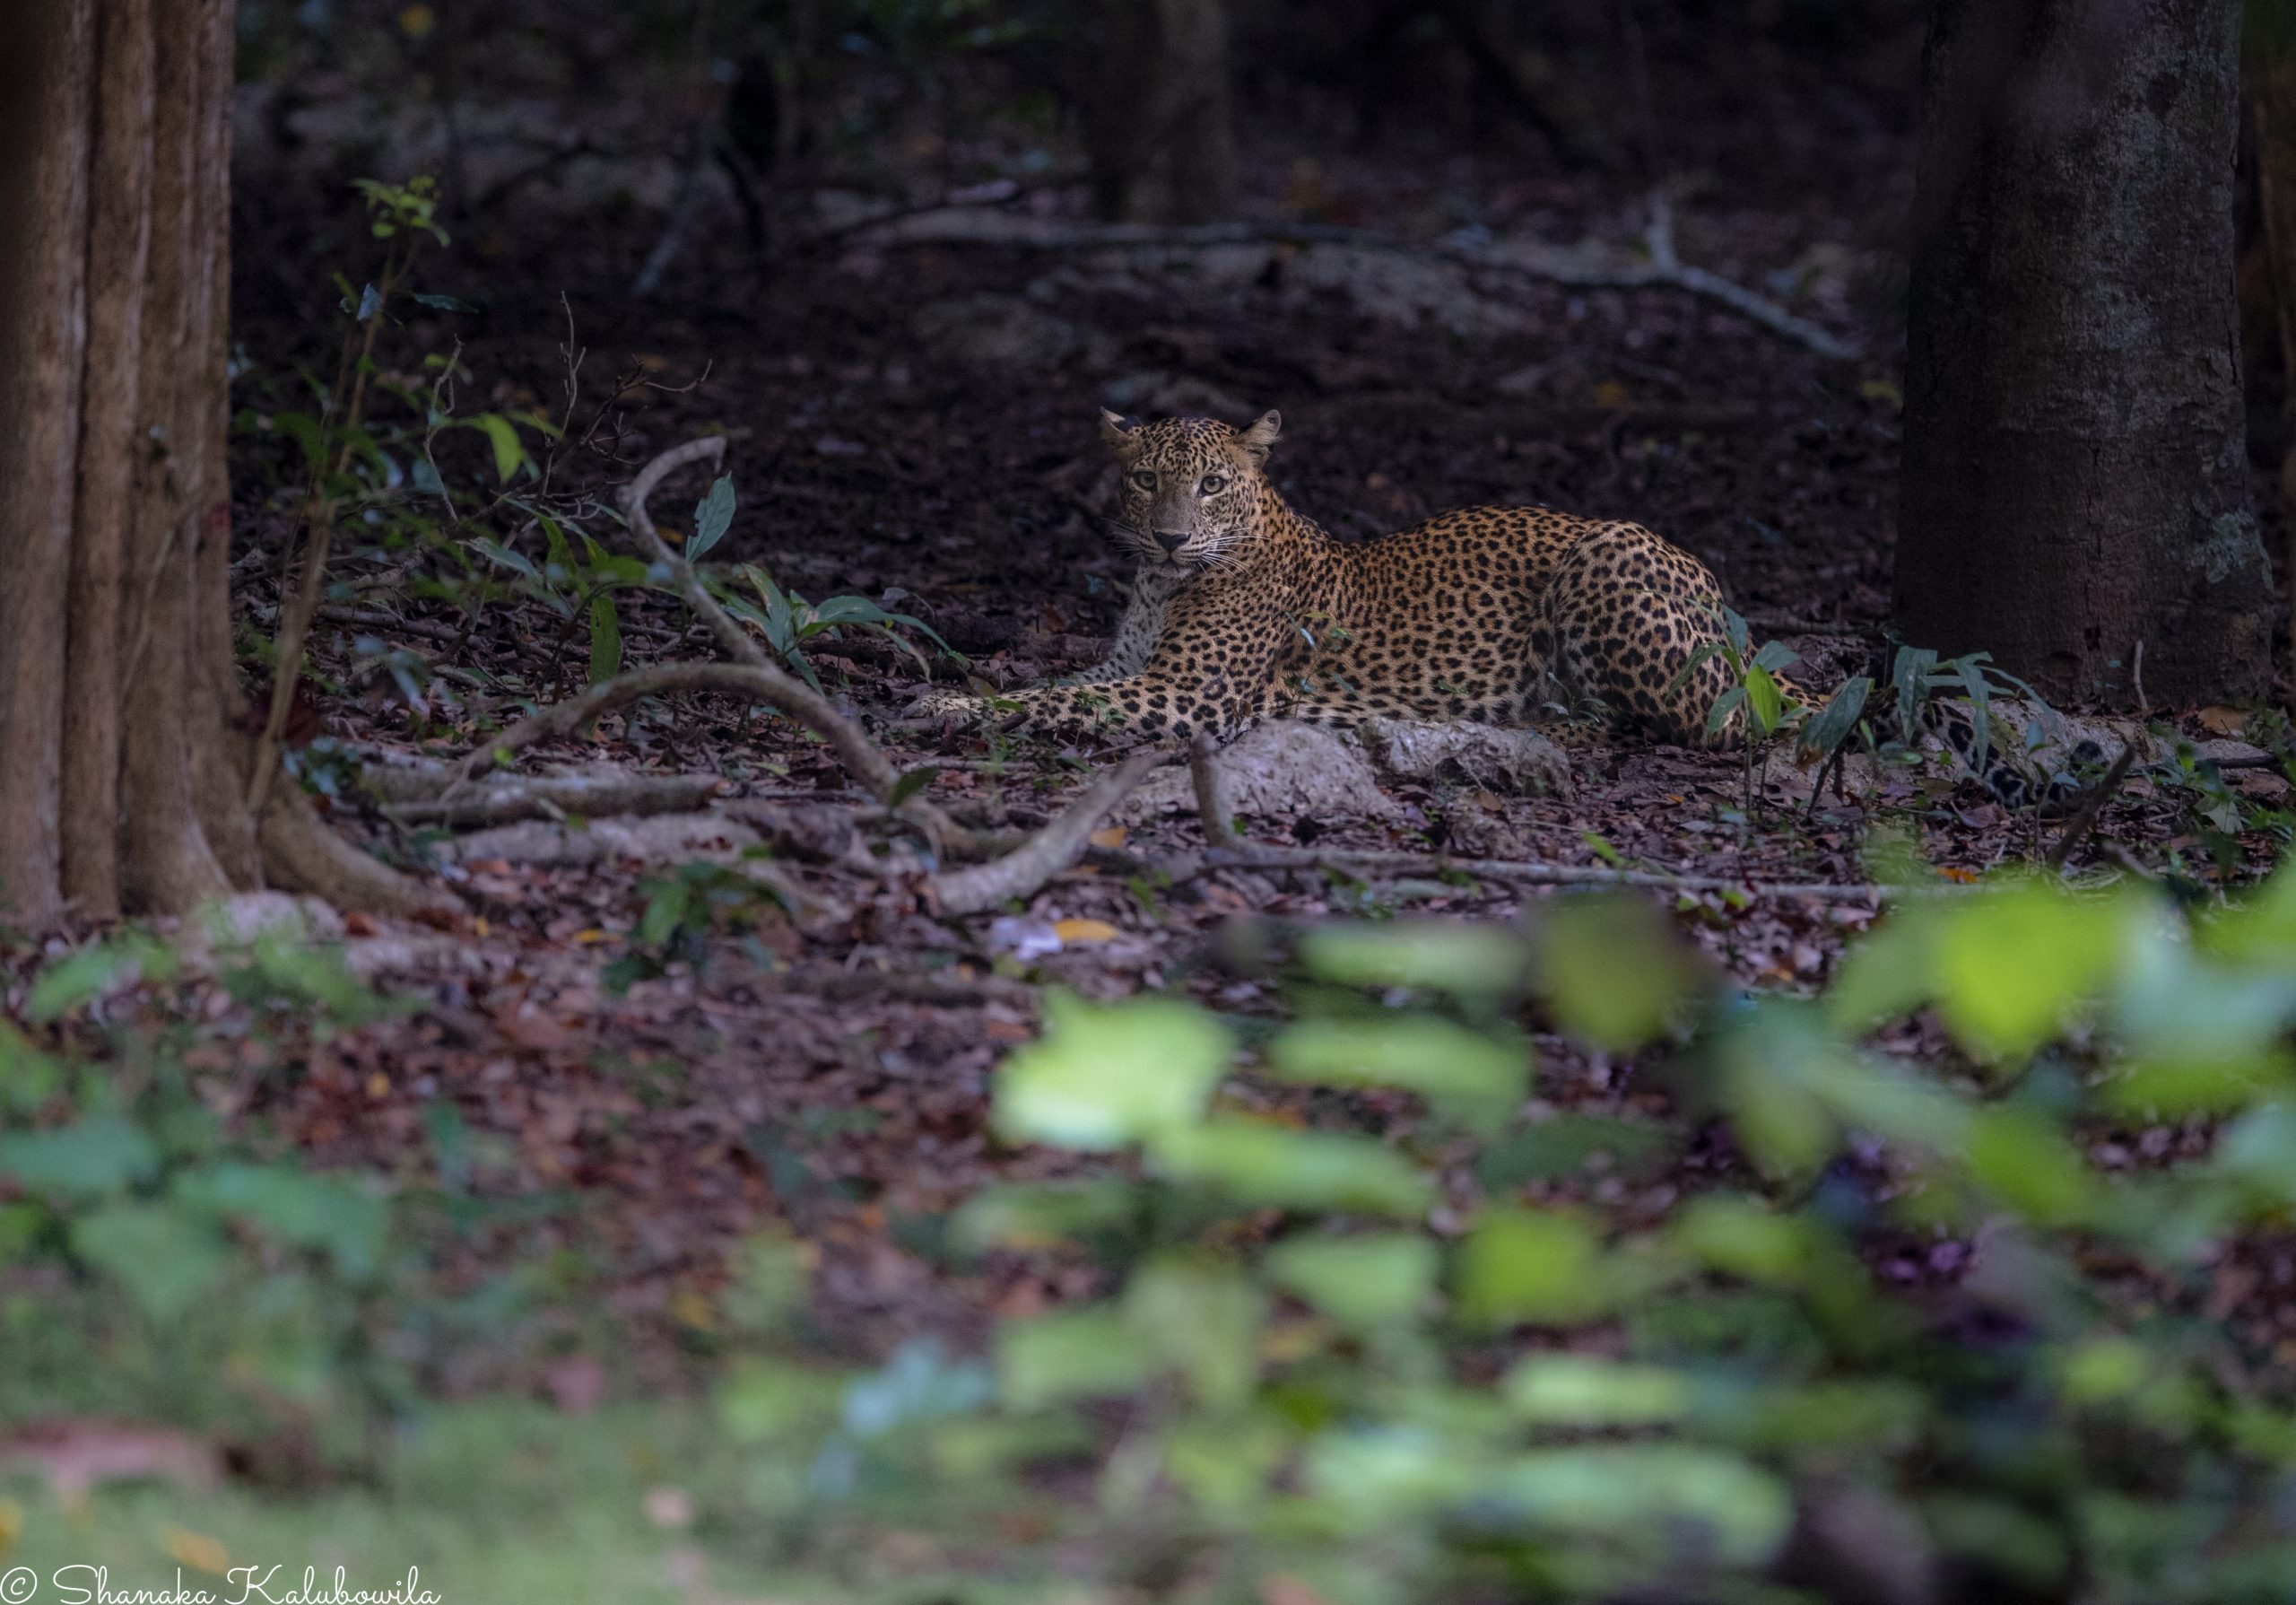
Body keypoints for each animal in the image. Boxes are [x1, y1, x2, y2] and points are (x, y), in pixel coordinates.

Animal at [908, 406, 1807, 750]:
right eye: (1145, 479)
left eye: (1212, 483)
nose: (1169, 538)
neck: (1161, 587)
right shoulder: (1128, 668)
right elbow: (1053, 685)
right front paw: (956, 690)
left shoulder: (1186, 695)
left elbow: (1050, 703)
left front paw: (944, 710)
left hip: (1608, 549)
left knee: (1710, 726)